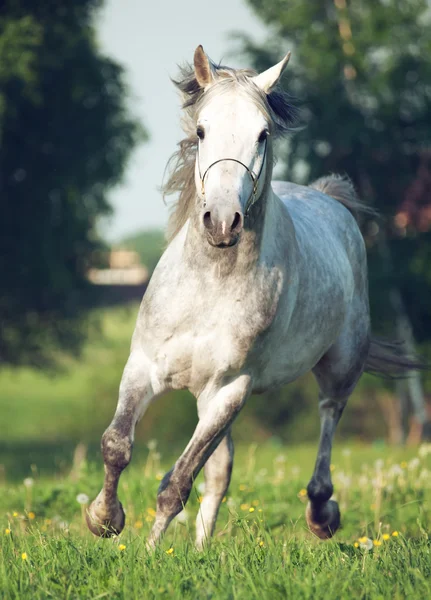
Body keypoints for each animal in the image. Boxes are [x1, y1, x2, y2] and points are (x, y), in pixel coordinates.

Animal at [87, 44, 422, 548]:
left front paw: (147, 553)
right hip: (204, 396)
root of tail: (328, 198)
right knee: (219, 473)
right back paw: (200, 549)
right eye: (201, 130)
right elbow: (117, 446)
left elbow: (177, 482)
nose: (223, 221)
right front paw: (105, 520)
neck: (209, 286)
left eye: (263, 134)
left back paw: (322, 513)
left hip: (339, 367)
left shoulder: (231, 389)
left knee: (327, 417)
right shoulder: (144, 367)